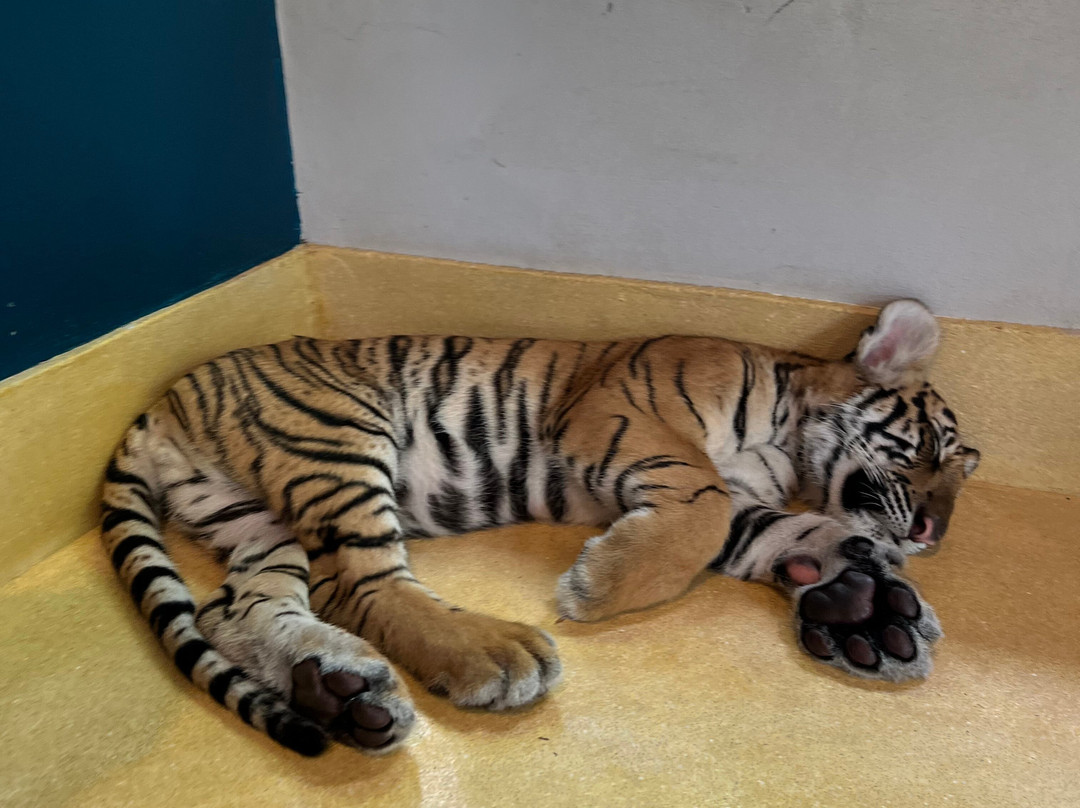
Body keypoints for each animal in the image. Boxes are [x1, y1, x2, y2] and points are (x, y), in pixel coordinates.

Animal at [101, 299, 979, 756]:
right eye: (936, 450)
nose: (932, 533)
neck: (790, 445)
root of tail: (164, 400)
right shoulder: (625, 416)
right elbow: (700, 509)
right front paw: (596, 588)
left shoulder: (736, 500)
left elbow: (778, 532)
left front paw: (862, 598)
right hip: (335, 433)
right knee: (359, 581)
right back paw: (491, 652)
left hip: (255, 519)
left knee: (238, 608)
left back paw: (339, 687)